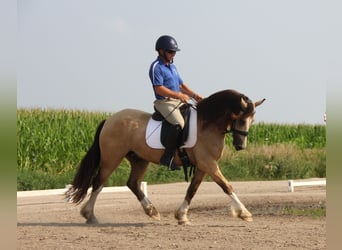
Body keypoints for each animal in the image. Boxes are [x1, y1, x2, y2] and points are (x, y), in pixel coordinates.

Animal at [65, 89, 266, 225]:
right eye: (241, 118)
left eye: (252, 120)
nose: (241, 146)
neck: (208, 123)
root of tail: (109, 119)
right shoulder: (208, 164)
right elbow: (226, 186)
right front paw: (244, 213)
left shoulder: (203, 166)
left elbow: (192, 190)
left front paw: (182, 216)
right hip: (111, 158)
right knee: (98, 183)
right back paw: (89, 215)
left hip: (139, 160)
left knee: (133, 183)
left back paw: (152, 211)